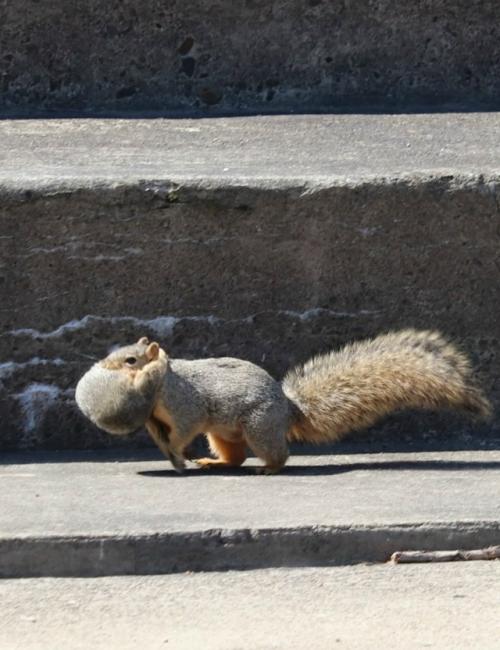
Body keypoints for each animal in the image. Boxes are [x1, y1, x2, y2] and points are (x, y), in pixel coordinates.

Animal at [75, 330, 492, 474]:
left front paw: (177, 448)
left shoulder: (184, 405)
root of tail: (288, 409)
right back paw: (215, 462)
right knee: (235, 457)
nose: (103, 366)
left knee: (276, 454)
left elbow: (184, 427)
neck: (164, 383)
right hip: (223, 433)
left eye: (131, 360)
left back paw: (270, 468)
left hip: (259, 426)